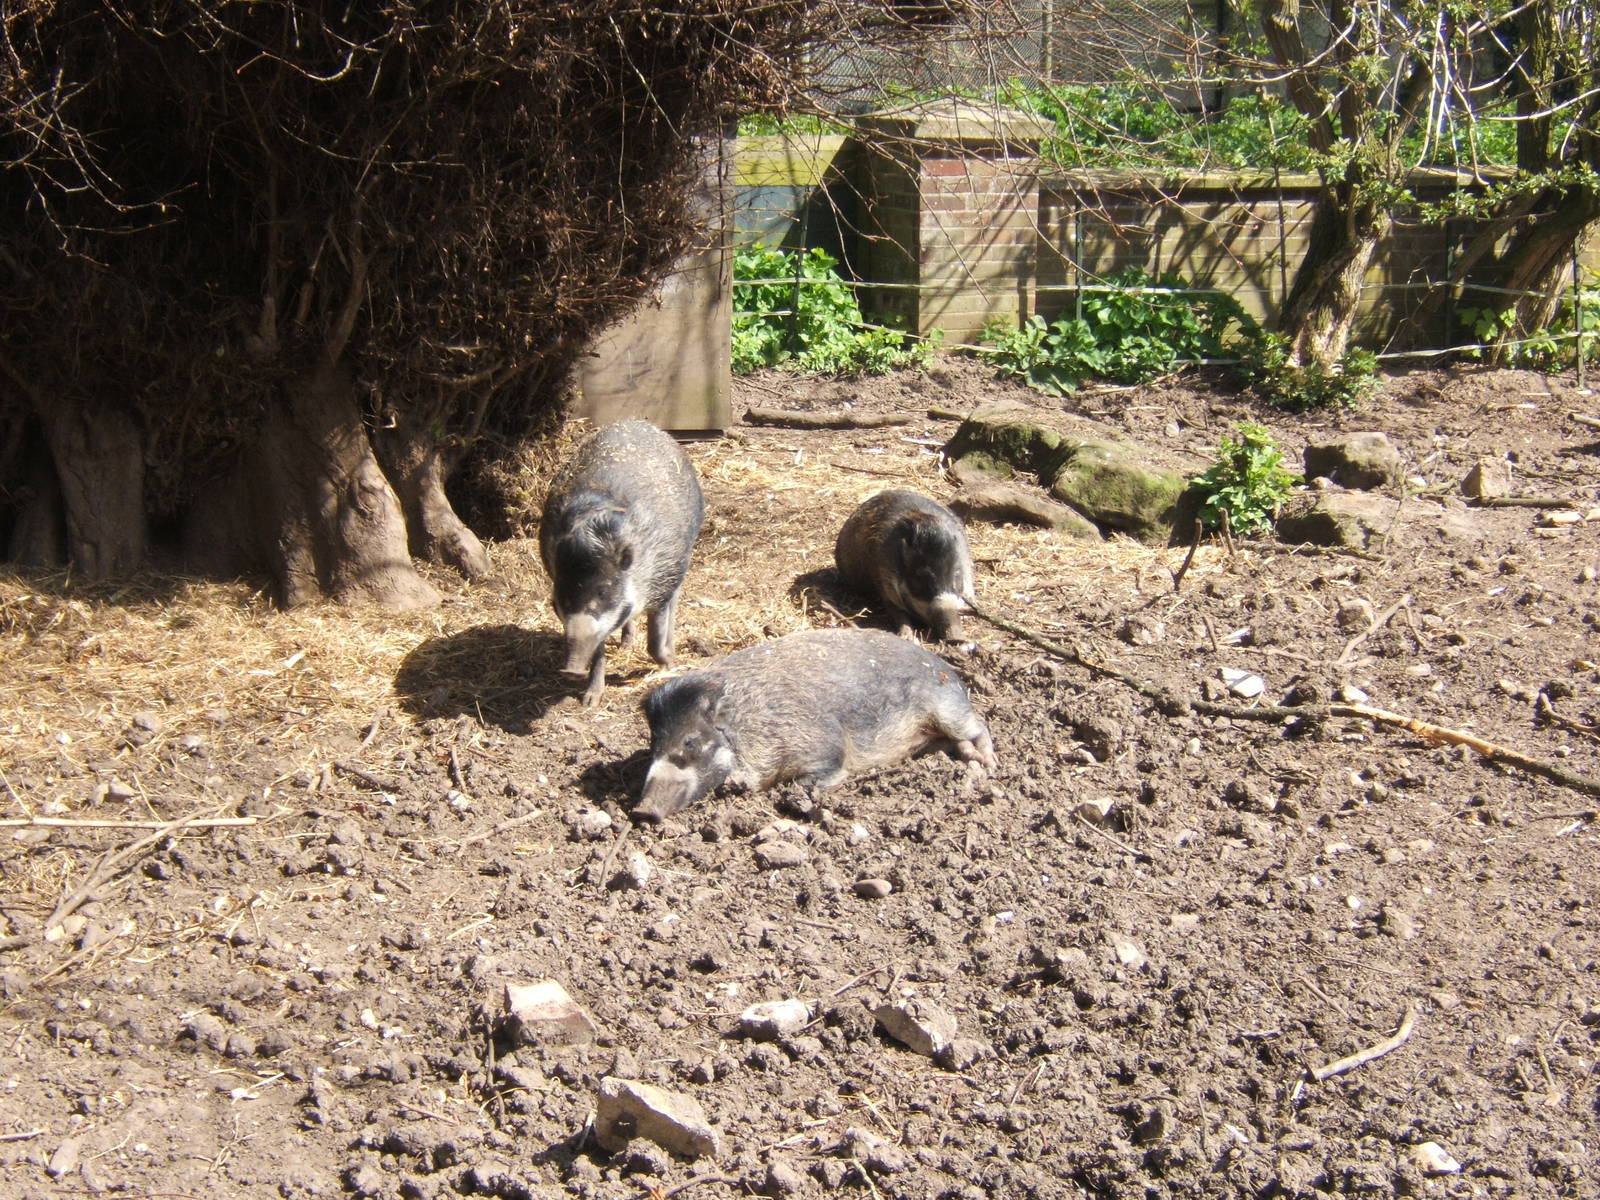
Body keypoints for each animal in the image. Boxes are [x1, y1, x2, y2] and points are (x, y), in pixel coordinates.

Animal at [539, 419, 704, 705]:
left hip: (681, 561)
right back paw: (627, 643)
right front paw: (590, 701)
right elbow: (599, 650)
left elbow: (655, 637)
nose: (570, 670)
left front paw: (670, 665)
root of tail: (637, 421)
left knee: (675, 603)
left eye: (603, 591)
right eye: (558, 598)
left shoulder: (662, 582)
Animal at [635, 628, 996, 821]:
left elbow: (819, 776)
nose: (642, 811)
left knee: (978, 725)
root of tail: (947, 669)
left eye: (690, 741)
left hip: (947, 708)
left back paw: (987, 762)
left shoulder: (824, 746)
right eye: (654, 743)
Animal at [834, 489, 975, 641]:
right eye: (922, 578)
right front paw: (908, 638)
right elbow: (897, 612)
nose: (957, 639)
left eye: (956, 576)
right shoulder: (882, 578)